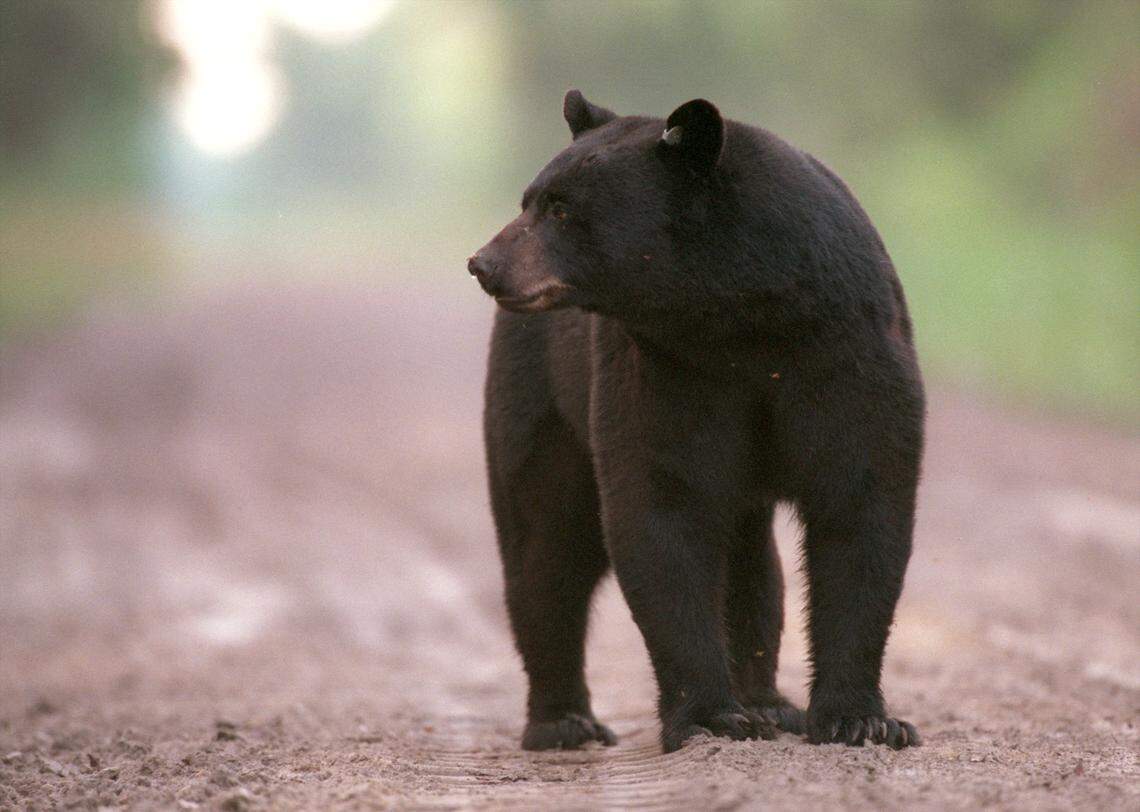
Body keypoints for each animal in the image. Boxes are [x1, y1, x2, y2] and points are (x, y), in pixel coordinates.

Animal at [469, 90, 924, 754]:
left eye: (560, 207)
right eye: (528, 199)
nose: (484, 263)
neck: (742, 318)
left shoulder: (847, 354)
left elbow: (861, 508)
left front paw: (862, 720)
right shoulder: (667, 371)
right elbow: (663, 510)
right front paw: (710, 715)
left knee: (751, 564)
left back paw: (768, 702)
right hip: (540, 397)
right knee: (546, 547)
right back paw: (563, 720)